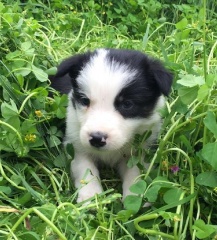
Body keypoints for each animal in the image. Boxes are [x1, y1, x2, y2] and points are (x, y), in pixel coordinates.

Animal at [50, 48, 173, 202]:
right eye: (84, 101)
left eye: (127, 104)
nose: (97, 138)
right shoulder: (76, 144)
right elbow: (85, 168)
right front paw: (91, 196)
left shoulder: (141, 148)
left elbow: (134, 171)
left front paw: (133, 195)